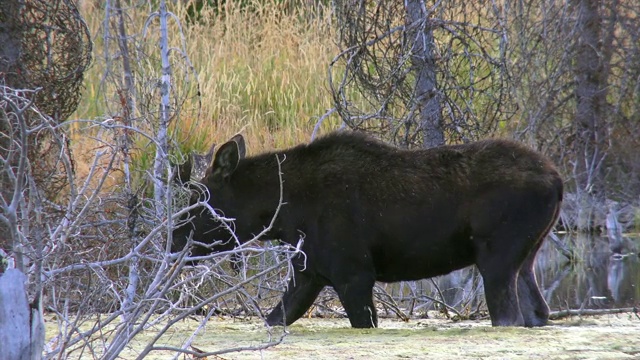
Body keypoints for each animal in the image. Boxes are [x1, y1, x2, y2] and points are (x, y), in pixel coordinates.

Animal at [172, 132, 564, 330]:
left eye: (196, 204)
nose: (173, 243)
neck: (283, 215)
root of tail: (558, 181)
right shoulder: (310, 271)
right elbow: (275, 318)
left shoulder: (354, 273)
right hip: (526, 256)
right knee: (537, 312)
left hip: (496, 255)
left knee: (509, 316)